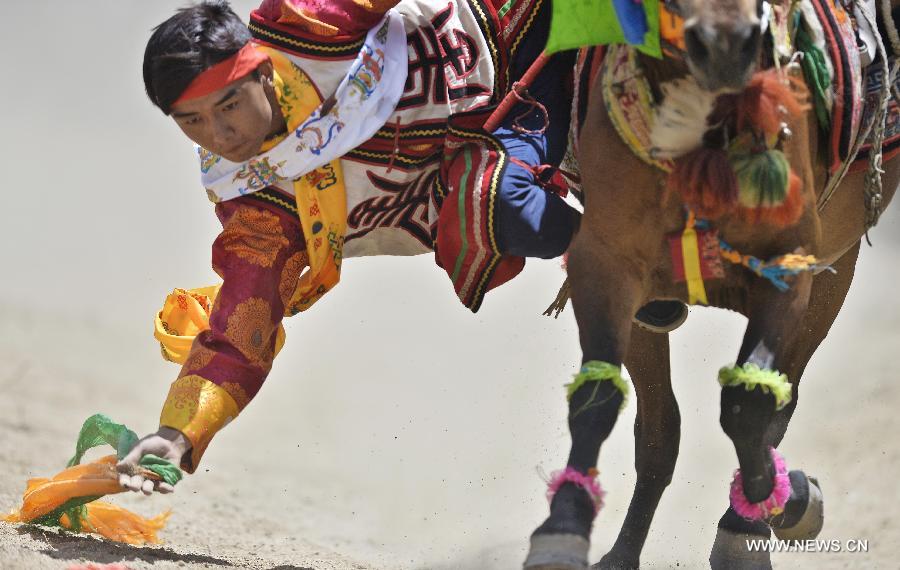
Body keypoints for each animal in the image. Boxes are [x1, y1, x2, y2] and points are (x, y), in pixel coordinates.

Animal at [520, 1, 900, 568]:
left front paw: (773, 510)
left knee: (780, 397)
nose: (725, 45)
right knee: (663, 428)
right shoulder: (610, 267)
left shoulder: (787, 272)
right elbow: (607, 403)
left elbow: (749, 406)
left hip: (834, 272)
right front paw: (564, 529)